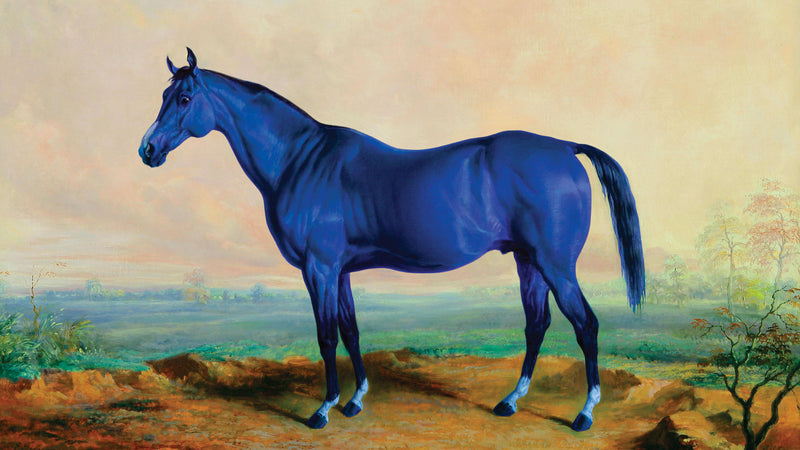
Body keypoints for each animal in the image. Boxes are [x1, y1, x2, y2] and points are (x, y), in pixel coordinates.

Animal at [138, 48, 645, 431]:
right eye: (162, 94)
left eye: (184, 97)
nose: (147, 149)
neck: (300, 160)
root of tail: (564, 147)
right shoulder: (339, 271)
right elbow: (351, 331)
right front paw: (355, 400)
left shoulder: (318, 268)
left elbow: (326, 336)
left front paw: (323, 409)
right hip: (528, 261)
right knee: (537, 325)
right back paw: (509, 401)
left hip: (556, 264)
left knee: (586, 325)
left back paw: (584, 414)